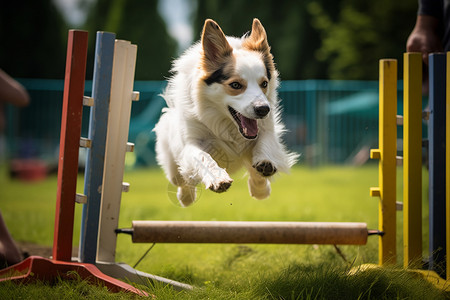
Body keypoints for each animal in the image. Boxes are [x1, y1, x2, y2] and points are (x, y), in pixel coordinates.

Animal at [155, 18, 298, 206]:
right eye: (236, 85)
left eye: (264, 83)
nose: (263, 110)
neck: (225, 123)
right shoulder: (191, 142)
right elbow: (202, 157)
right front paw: (218, 179)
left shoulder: (266, 128)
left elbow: (265, 142)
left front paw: (262, 177)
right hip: (172, 164)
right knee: (182, 180)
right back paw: (186, 198)